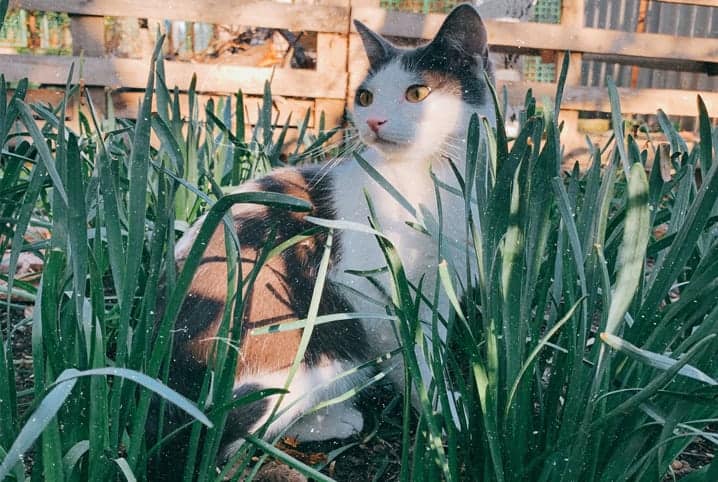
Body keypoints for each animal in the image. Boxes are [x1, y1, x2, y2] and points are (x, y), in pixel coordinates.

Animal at [166, 2, 498, 464]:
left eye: (417, 93)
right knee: (231, 440)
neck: (429, 184)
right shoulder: (366, 285)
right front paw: (441, 413)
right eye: (366, 96)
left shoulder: (440, 285)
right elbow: (408, 354)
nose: (373, 120)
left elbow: (430, 343)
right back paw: (335, 421)